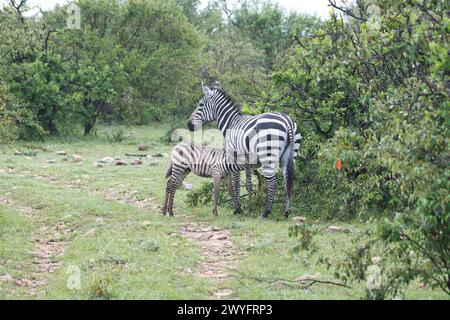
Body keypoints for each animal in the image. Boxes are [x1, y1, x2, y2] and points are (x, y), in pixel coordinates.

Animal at [188, 81, 300, 219]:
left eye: (201, 105)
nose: (189, 125)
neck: (231, 123)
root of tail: (287, 121)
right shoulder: (248, 162)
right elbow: (248, 184)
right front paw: (250, 207)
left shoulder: (233, 157)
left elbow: (235, 182)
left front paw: (238, 209)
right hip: (289, 156)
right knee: (287, 181)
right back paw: (286, 211)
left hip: (267, 156)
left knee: (273, 183)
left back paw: (266, 212)